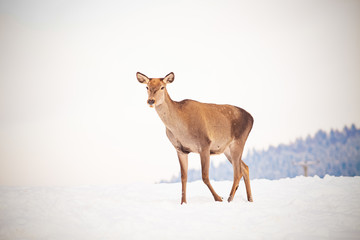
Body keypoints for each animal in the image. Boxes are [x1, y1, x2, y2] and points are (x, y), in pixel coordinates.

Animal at [136, 72, 255, 203]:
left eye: (162, 87)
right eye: (147, 87)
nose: (151, 101)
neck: (180, 128)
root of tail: (252, 118)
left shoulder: (205, 143)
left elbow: (205, 176)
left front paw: (218, 198)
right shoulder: (180, 149)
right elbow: (183, 177)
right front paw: (183, 202)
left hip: (238, 141)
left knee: (237, 172)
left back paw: (229, 199)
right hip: (226, 149)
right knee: (245, 167)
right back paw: (250, 199)